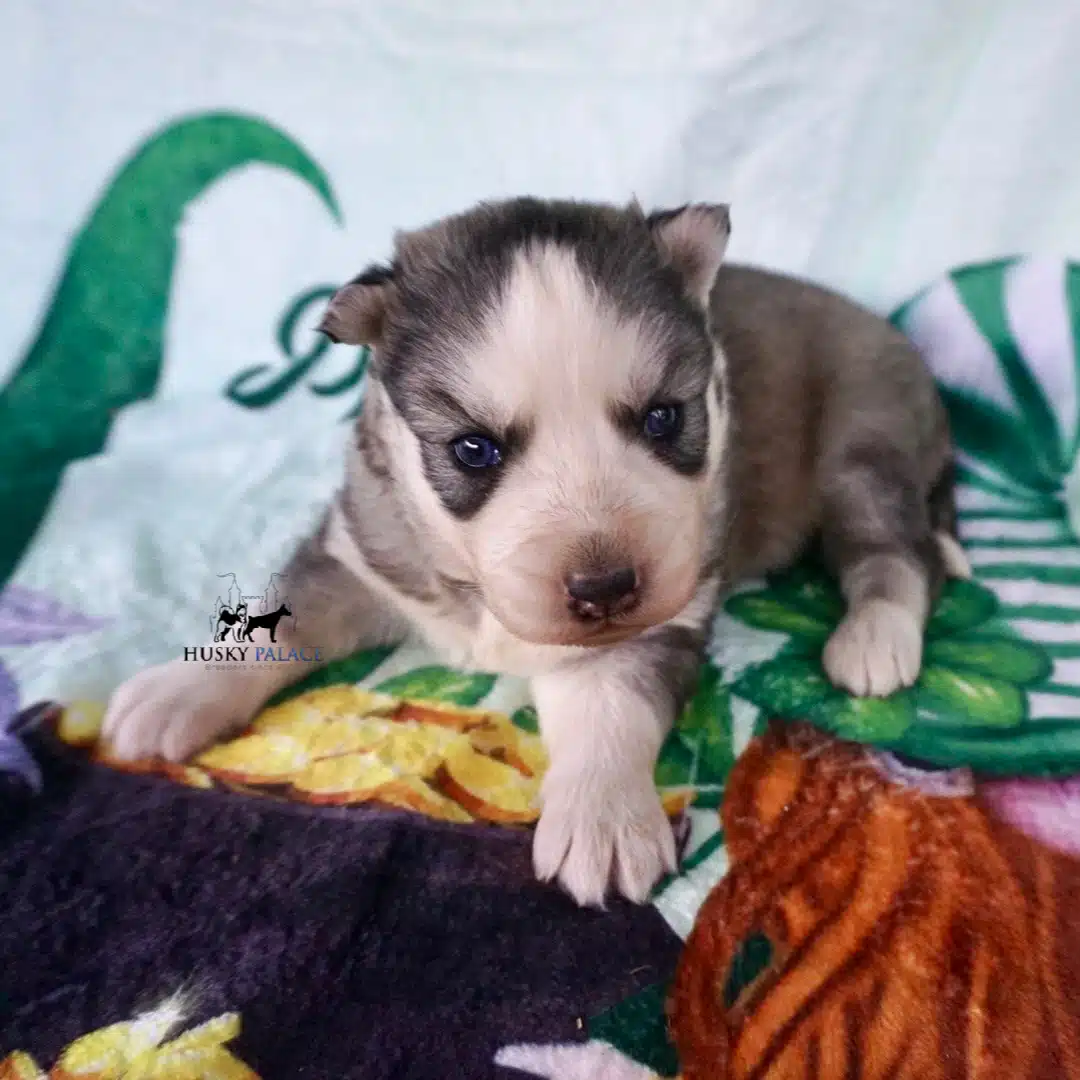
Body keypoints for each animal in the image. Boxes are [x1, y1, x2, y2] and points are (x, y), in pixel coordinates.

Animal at [103, 198, 963, 907]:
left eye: (663, 418)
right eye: (473, 449)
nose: (605, 587)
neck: (478, 599)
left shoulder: (657, 621)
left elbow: (612, 706)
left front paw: (603, 816)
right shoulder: (361, 553)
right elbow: (280, 616)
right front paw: (177, 689)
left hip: (862, 442)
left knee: (899, 550)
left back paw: (875, 636)